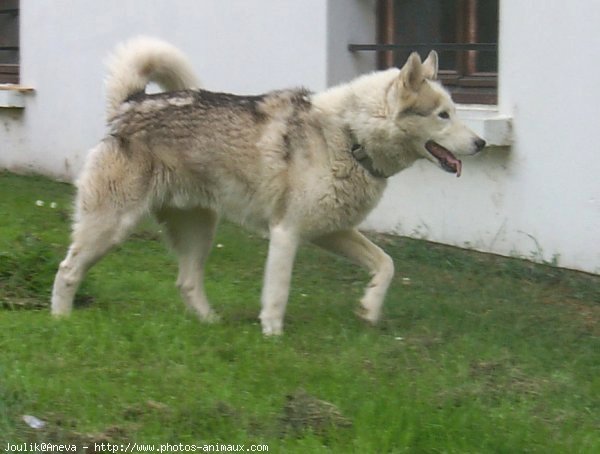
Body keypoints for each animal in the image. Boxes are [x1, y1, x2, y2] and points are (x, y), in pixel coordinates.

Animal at [50, 38, 482, 334]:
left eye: (455, 112)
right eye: (442, 115)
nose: (481, 144)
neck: (349, 136)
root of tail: (129, 104)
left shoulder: (333, 232)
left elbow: (386, 264)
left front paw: (369, 308)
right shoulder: (286, 232)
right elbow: (278, 292)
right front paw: (272, 338)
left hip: (200, 231)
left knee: (187, 283)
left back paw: (212, 323)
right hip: (112, 226)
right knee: (67, 269)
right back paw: (60, 321)